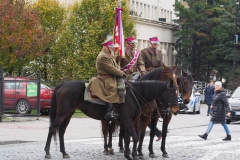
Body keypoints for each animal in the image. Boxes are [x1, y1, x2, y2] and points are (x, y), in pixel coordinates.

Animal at [43, 79, 179, 159]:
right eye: (172, 93)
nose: (176, 109)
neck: (135, 95)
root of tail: (63, 84)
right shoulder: (128, 121)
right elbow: (134, 137)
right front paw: (133, 155)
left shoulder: (133, 121)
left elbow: (129, 138)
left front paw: (130, 154)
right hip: (62, 114)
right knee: (52, 129)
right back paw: (47, 152)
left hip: (68, 114)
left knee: (61, 131)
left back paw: (64, 152)